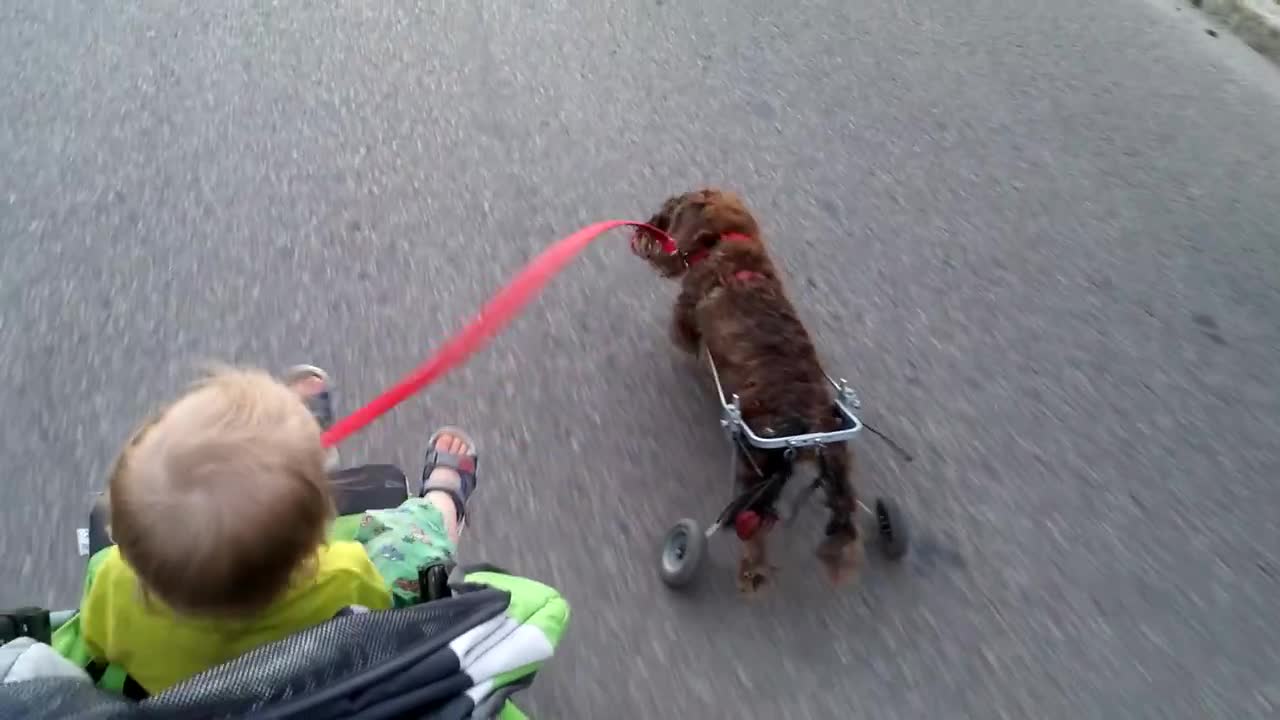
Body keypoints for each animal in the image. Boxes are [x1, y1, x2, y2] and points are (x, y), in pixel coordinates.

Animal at [629, 188, 860, 591]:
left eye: (669, 213)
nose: (641, 230)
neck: (727, 246)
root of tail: (809, 432)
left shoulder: (685, 319)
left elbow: (686, 339)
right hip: (838, 460)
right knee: (845, 512)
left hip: (757, 472)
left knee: (750, 526)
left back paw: (747, 571)